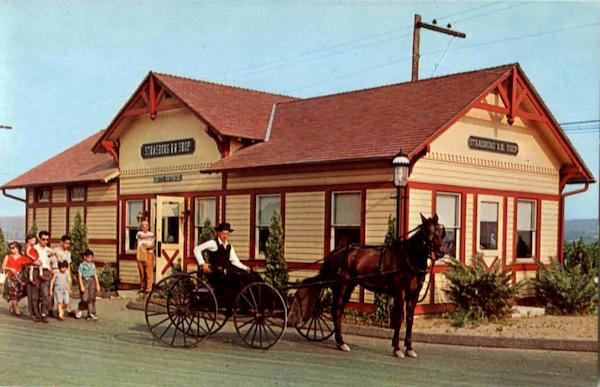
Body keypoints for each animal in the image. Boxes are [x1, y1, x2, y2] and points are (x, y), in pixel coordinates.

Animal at [290, 214, 446, 360]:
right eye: (427, 231)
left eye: (440, 231)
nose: (440, 252)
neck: (407, 258)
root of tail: (336, 252)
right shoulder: (400, 293)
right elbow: (398, 320)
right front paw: (397, 349)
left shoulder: (413, 294)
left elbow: (409, 320)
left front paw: (409, 348)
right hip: (341, 287)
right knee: (336, 311)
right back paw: (341, 343)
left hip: (349, 287)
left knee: (338, 312)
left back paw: (340, 342)